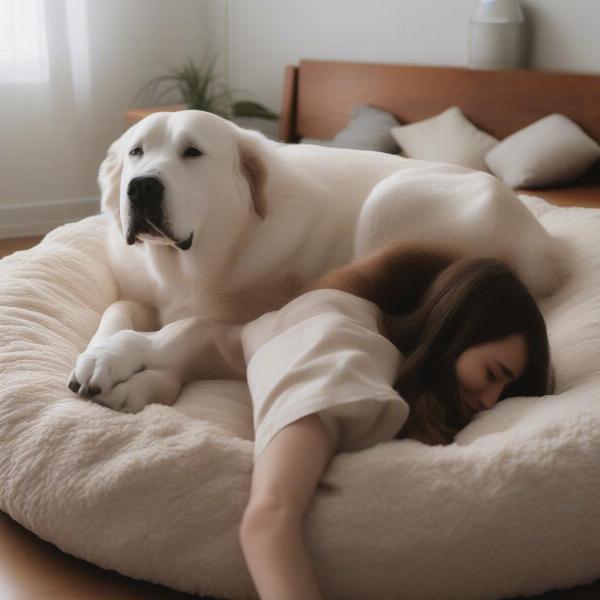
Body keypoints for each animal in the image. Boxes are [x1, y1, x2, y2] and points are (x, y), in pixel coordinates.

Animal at [68, 110, 564, 412]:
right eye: (136, 152)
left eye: (192, 152)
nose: (141, 187)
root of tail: (546, 247)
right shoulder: (140, 291)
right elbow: (120, 309)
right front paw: (102, 353)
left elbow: (181, 332)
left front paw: (124, 366)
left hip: (389, 201)